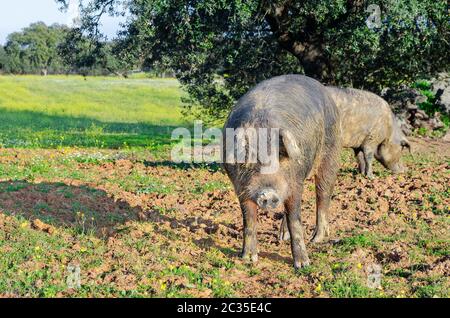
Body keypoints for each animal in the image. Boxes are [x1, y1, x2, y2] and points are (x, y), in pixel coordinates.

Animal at [221, 75, 342, 270]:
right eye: (250, 161)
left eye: (280, 156)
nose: (268, 193)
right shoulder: (241, 187)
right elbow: (249, 220)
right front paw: (248, 259)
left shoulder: (295, 182)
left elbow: (295, 218)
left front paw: (303, 265)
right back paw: (282, 237)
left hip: (331, 152)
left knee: (323, 195)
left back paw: (317, 239)